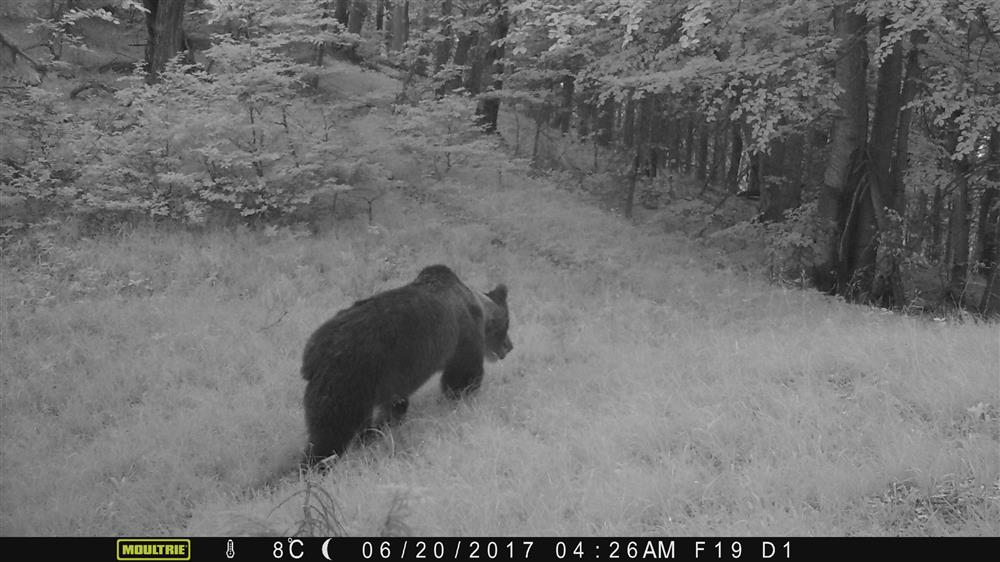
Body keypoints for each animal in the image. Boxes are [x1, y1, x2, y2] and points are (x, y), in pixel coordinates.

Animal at [301, 264, 512, 465]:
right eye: (506, 325)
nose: (509, 346)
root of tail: (312, 354)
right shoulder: (462, 336)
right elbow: (462, 374)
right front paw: (462, 397)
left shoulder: (394, 379)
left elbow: (395, 404)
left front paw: (387, 425)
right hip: (349, 380)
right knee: (332, 430)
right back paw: (317, 463)